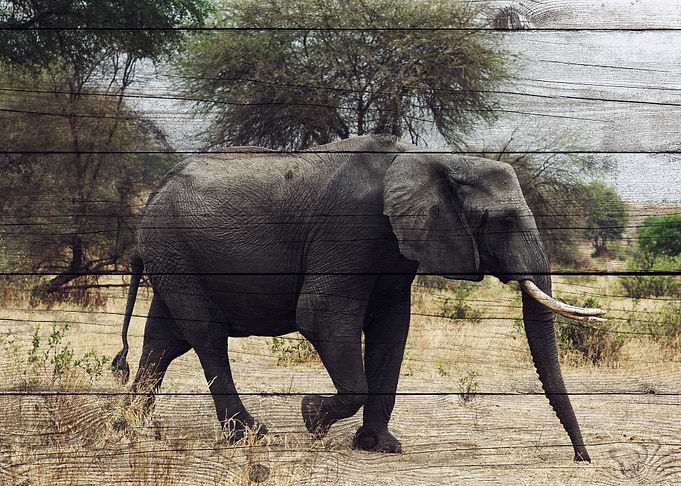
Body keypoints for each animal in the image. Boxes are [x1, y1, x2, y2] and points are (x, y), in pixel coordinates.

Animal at [112, 134, 604, 461]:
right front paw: (311, 417)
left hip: (174, 255)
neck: (434, 159)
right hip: (174, 248)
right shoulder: (350, 227)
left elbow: (392, 328)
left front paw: (380, 446)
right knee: (206, 336)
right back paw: (250, 434)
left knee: (163, 339)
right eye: (502, 221)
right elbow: (321, 315)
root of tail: (155, 192)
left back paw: (130, 426)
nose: (582, 459)